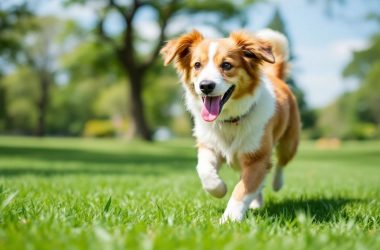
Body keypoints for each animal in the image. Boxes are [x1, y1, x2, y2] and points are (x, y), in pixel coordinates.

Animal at [160, 28, 300, 223]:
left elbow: (243, 189)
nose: (206, 86)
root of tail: (276, 77)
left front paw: (230, 219)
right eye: (197, 65)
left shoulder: (257, 157)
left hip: (289, 142)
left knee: (281, 163)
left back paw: (277, 183)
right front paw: (219, 189)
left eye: (226, 65)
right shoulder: (209, 146)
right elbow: (204, 170)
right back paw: (256, 201)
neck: (229, 120)